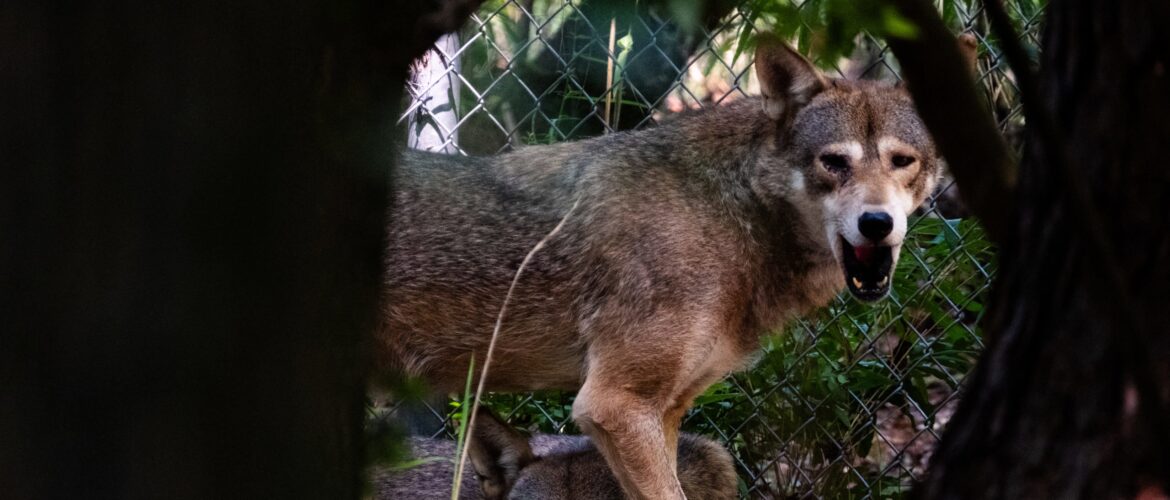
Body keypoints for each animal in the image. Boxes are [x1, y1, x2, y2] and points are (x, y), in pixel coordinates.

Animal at [388, 36, 945, 500]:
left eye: (902, 161)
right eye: (833, 163)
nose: (877, 222)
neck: (728, 213)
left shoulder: (667, 411)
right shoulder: (614, 405)